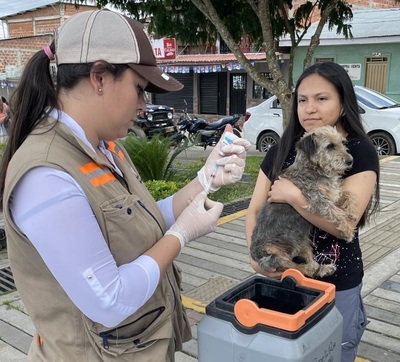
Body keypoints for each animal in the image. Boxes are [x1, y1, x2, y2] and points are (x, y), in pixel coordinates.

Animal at [252, 126, 358, 278]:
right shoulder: (318, 200)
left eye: (343, 143)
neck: (313, 169)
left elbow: (350, 195)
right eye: (330, 146)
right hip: (275, 257)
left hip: (304, 243)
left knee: (311, 263)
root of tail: (255, 255)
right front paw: (348, 231)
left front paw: (353, 212)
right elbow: (337, 213)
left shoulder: (333, 195)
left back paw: (323, 269)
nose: (350, 161)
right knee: (296, 267)